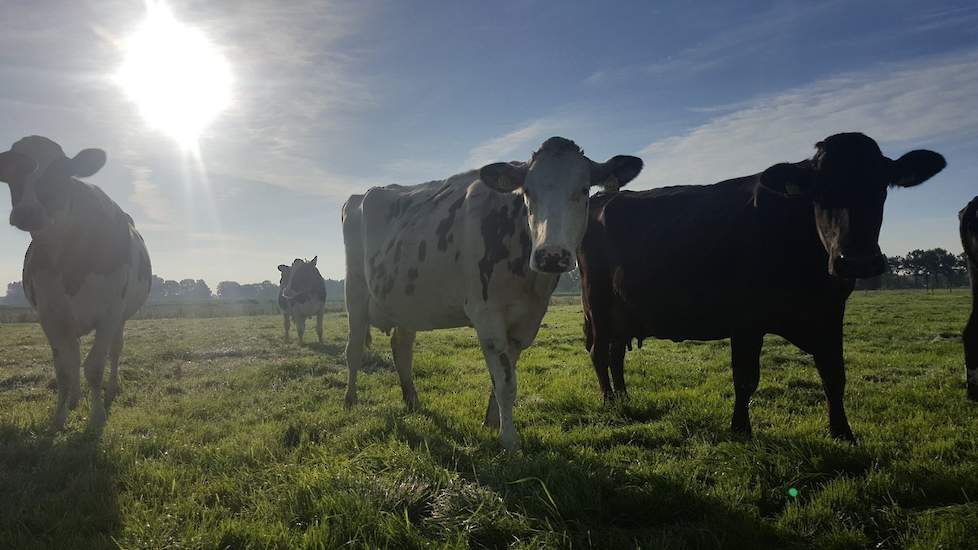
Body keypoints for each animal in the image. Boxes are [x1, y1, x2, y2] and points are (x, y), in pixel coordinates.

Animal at [0, 136, 151, 434]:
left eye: (60, 172)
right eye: (12, 172)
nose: (27, 212)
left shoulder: (110, 313)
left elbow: (94, 367)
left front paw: (97, 417)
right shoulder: (50, 316)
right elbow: (63, 369)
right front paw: (58, 419)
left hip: (121, 317)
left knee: (115, 350)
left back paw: (110, 389)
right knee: (74, 355)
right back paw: (74, 399)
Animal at [342, 138, 640, 452]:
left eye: (584, 190)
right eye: (527, 192)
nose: (551, 255)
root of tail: (360, 196)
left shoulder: (526, 321)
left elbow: (502, 378)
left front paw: (492, 422)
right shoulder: (487, 315)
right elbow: (506, 383)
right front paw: (509, 440)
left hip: (406, 303)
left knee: (402, 349)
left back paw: (412, 401)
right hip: (356, 294)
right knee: (353, 349)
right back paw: (350, 401)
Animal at [580, 132, 944, 442]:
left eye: (880, 187)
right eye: (820, 192)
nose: (856, 261)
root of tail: (602, 197)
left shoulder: (830, 312)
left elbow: (834, 374)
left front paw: (842, 431)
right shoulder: (745, 319)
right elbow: (745, 378)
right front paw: (741, 429)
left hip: (622, 312)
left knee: (615, 353)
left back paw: (624, 397)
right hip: (597, 301)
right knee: (599, 352)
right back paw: (609, 401)